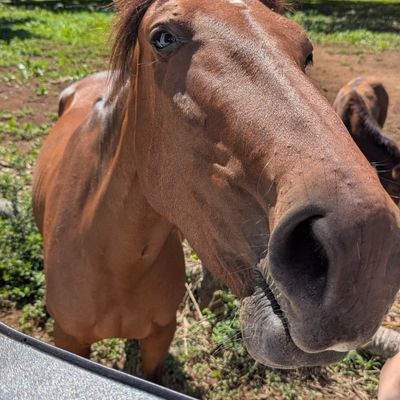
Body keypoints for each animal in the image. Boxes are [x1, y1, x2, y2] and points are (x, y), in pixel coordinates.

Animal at [32, 0, 400, 381]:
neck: (117, 265)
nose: (369, 248)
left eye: (307, 52)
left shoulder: (161, 335)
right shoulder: (69, 338)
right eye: (162, 38)